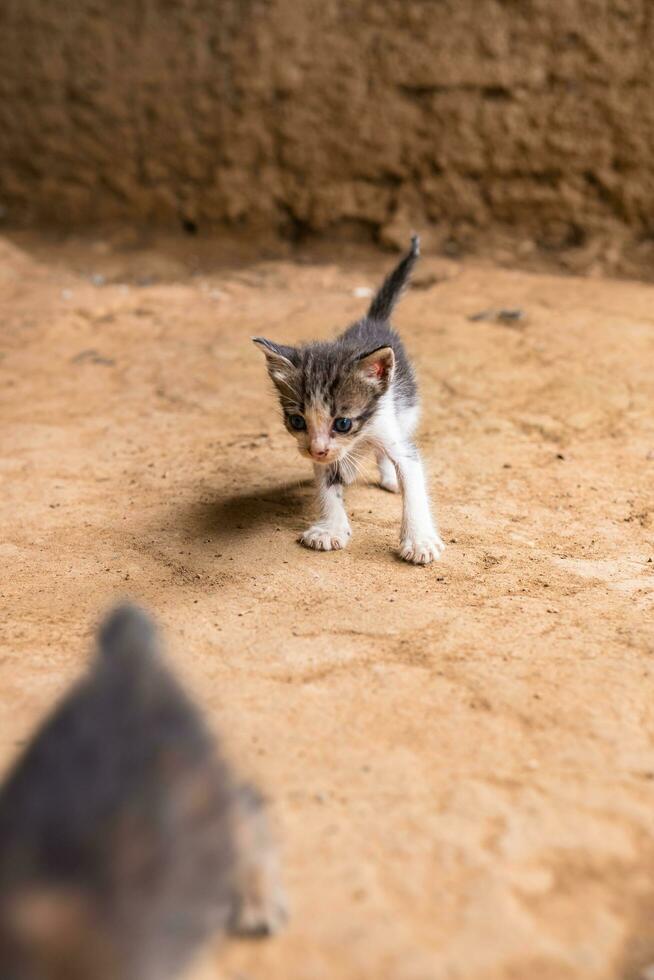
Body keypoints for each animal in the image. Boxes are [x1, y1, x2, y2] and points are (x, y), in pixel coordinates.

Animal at [255, 236, 446, 568]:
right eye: (297, 421)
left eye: (343, 423)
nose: (317, 450)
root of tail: (373, 321)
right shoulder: (319, 451)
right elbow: (327, 484)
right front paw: (330, 528)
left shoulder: (389, 429)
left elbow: (412, 479)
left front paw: (419, 539)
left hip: (406, 408)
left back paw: (385, 476)